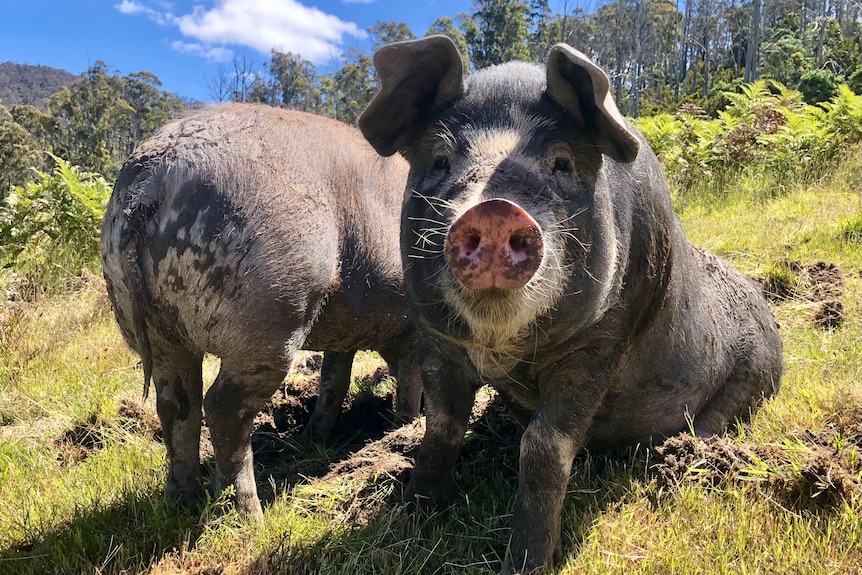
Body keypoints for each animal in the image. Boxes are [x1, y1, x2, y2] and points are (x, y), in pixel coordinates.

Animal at [100, 103, 422, 516]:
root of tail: (150, 185)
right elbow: (409, 379)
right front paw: (406, 427)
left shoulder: (345, 329)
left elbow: (335, 378)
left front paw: (316, 435)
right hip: (271, 312)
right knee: (223, 407)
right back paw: (251, 514)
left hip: (149, 320)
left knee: (176, 404)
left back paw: (183, 503)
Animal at [358, 36, 784, 572]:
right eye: (439, 162)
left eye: (561, 163)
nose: (494, 210)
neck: (503, 354)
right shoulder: (436, 339)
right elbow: (441, 427)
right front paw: (414, 516)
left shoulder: (603, 340)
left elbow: (546, 445)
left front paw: (527, 563)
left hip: (755, 375)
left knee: (714, 421)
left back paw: (674, 457)